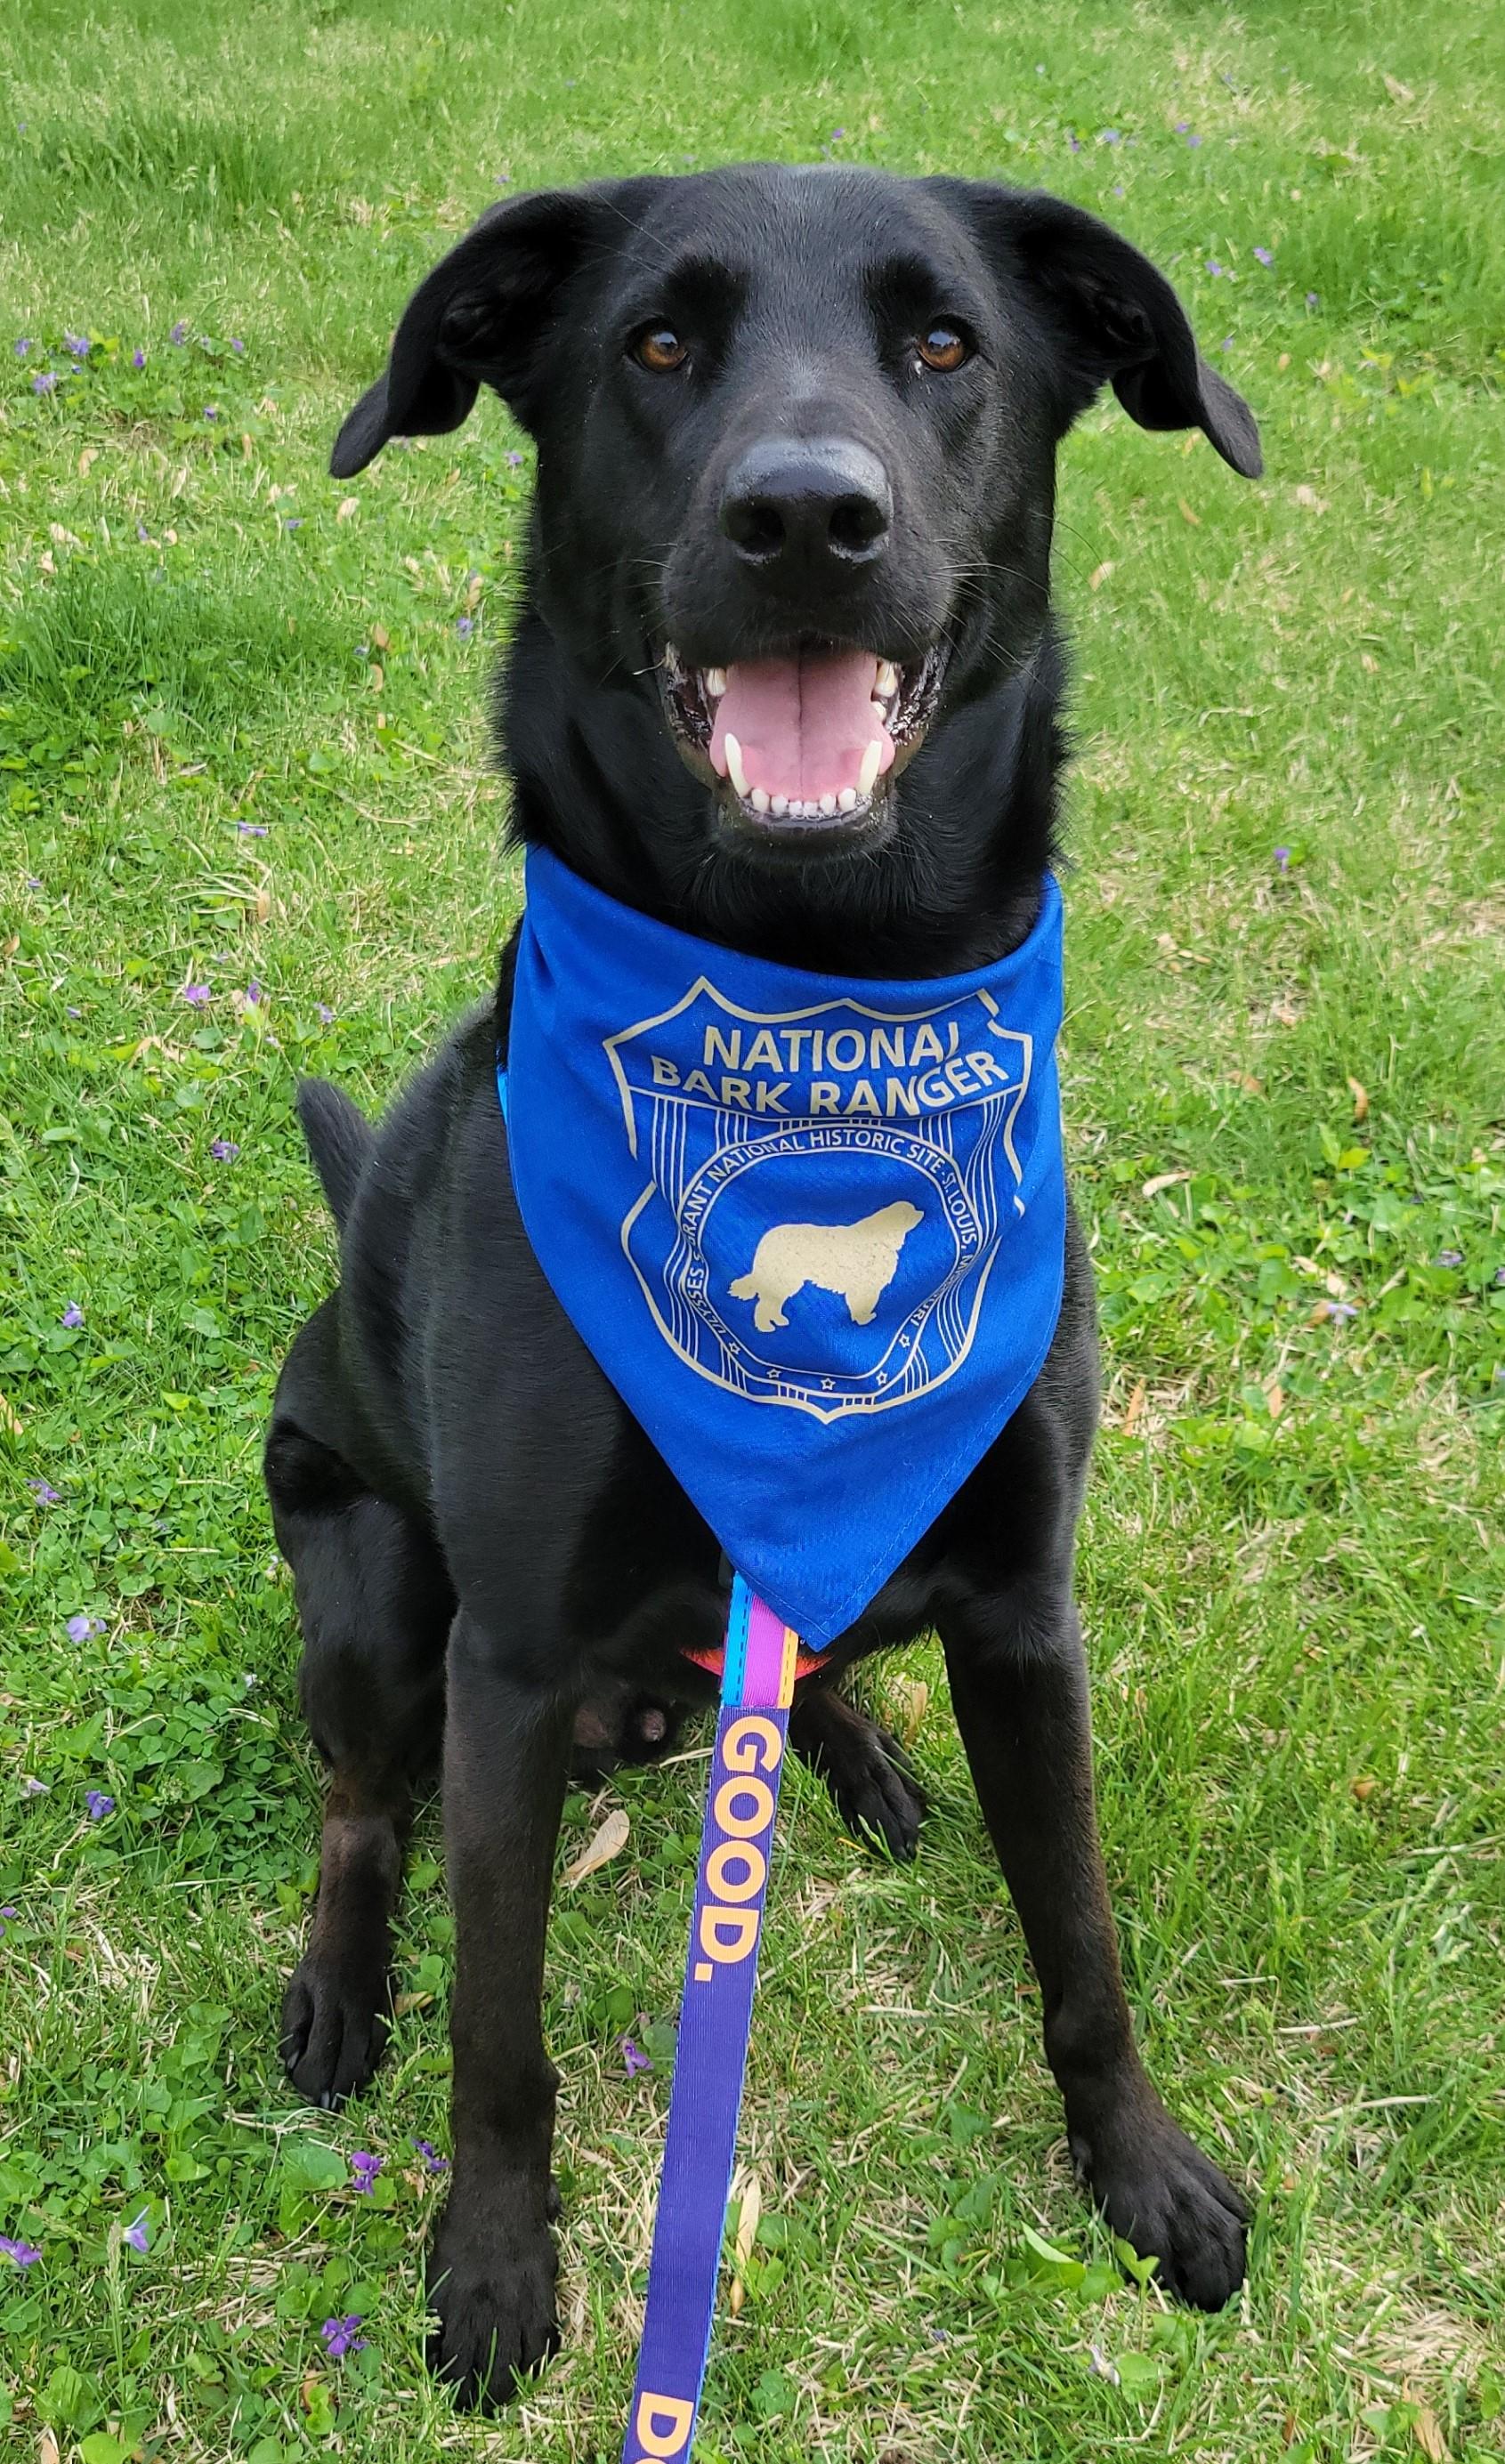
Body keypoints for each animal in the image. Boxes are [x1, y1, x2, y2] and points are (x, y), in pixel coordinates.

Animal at [268, 168, 1261, 2404]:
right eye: (653, 342)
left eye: (945, 342)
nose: (804, 516)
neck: (826, 996)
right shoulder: (505, 1664)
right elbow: (498, 2034)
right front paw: (490, 2261)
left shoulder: (1024, 1603)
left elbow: (1081, 1939)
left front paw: (1140, 2169)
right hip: (369, 1590)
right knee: (362, 1810)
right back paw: (337, 1986)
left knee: (810, 1661)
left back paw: (864, 1752)